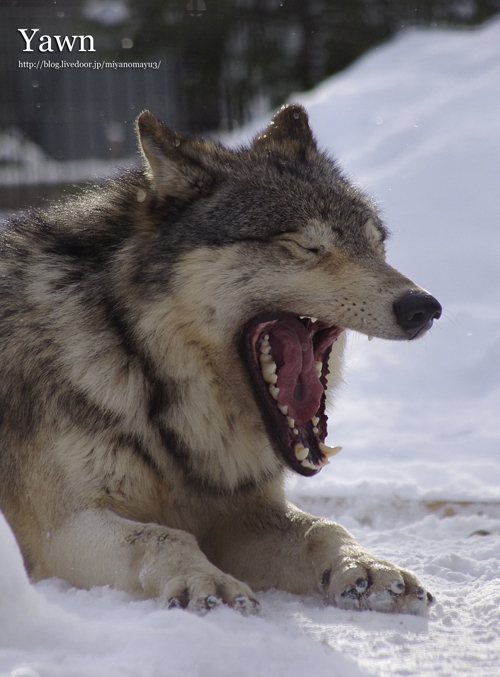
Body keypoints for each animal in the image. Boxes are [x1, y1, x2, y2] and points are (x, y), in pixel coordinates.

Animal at [0, 104, 440, 612]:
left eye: (376, 246)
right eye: (308, 246)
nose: (423, 307)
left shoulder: (244, 513)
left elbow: (323, 529)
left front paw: (368, 566)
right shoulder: (61, 528)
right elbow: (162, 537)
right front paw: (206, 581)